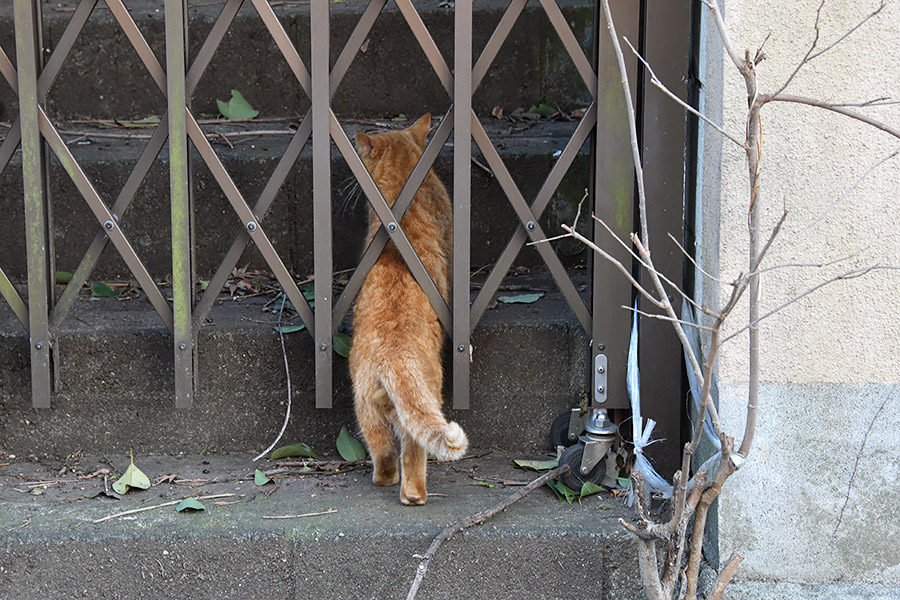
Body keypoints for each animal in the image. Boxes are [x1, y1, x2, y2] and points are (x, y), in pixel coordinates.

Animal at [348, 113, 468, 506]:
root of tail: (393, 358)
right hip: (420, 403)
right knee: (412, 457)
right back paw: (414, 495)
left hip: (366, 409)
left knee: (384, 452)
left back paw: (383, 480)